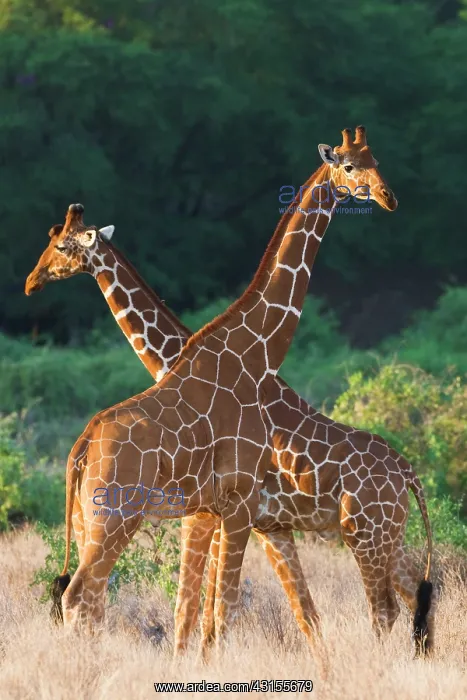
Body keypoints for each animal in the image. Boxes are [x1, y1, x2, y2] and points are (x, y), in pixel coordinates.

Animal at [25, 127, 431, 659]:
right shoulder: (233, 512)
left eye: (373, 161)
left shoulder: (230, 512)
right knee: (83, 596)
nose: (388, 197)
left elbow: (213, 612)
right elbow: (215, 611)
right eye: (348, 165)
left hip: (367, 532)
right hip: (116, 517)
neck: (252, 352)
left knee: (398, 603)